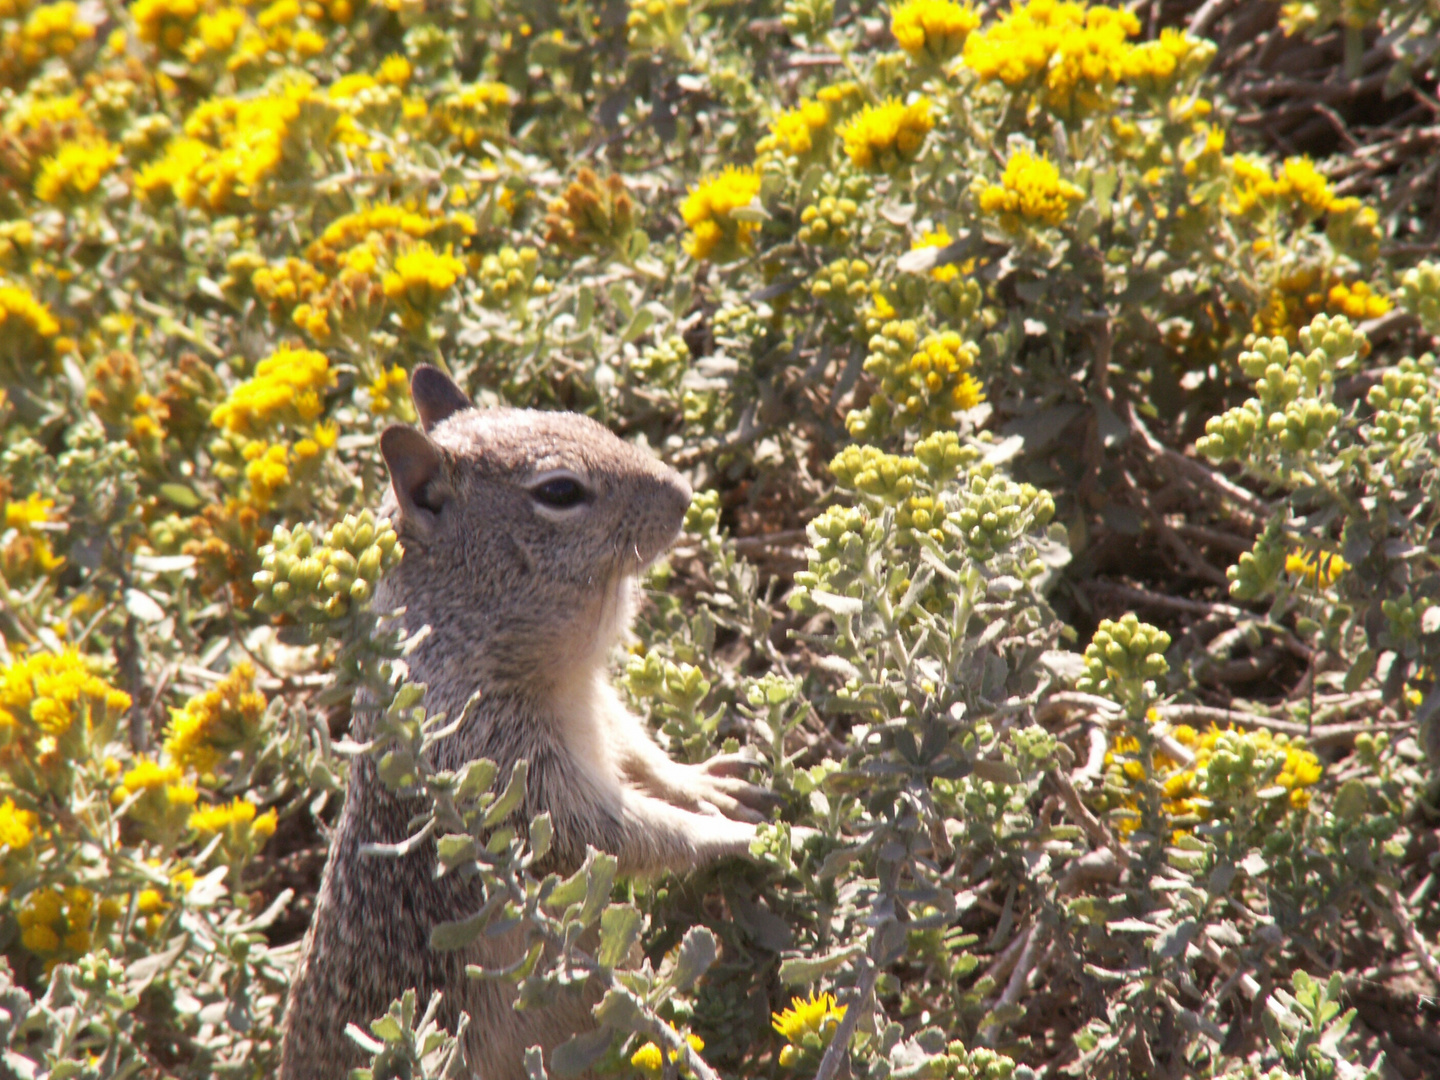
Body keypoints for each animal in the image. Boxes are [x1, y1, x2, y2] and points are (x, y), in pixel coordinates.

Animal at [280, 368, 777, 1077]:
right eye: (560, 491)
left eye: (584, 418)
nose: (685, 495)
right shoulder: (506, 775)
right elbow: (619, 833)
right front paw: (734, 836)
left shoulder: (599, 709)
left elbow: (640, 755)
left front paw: (706, 783)